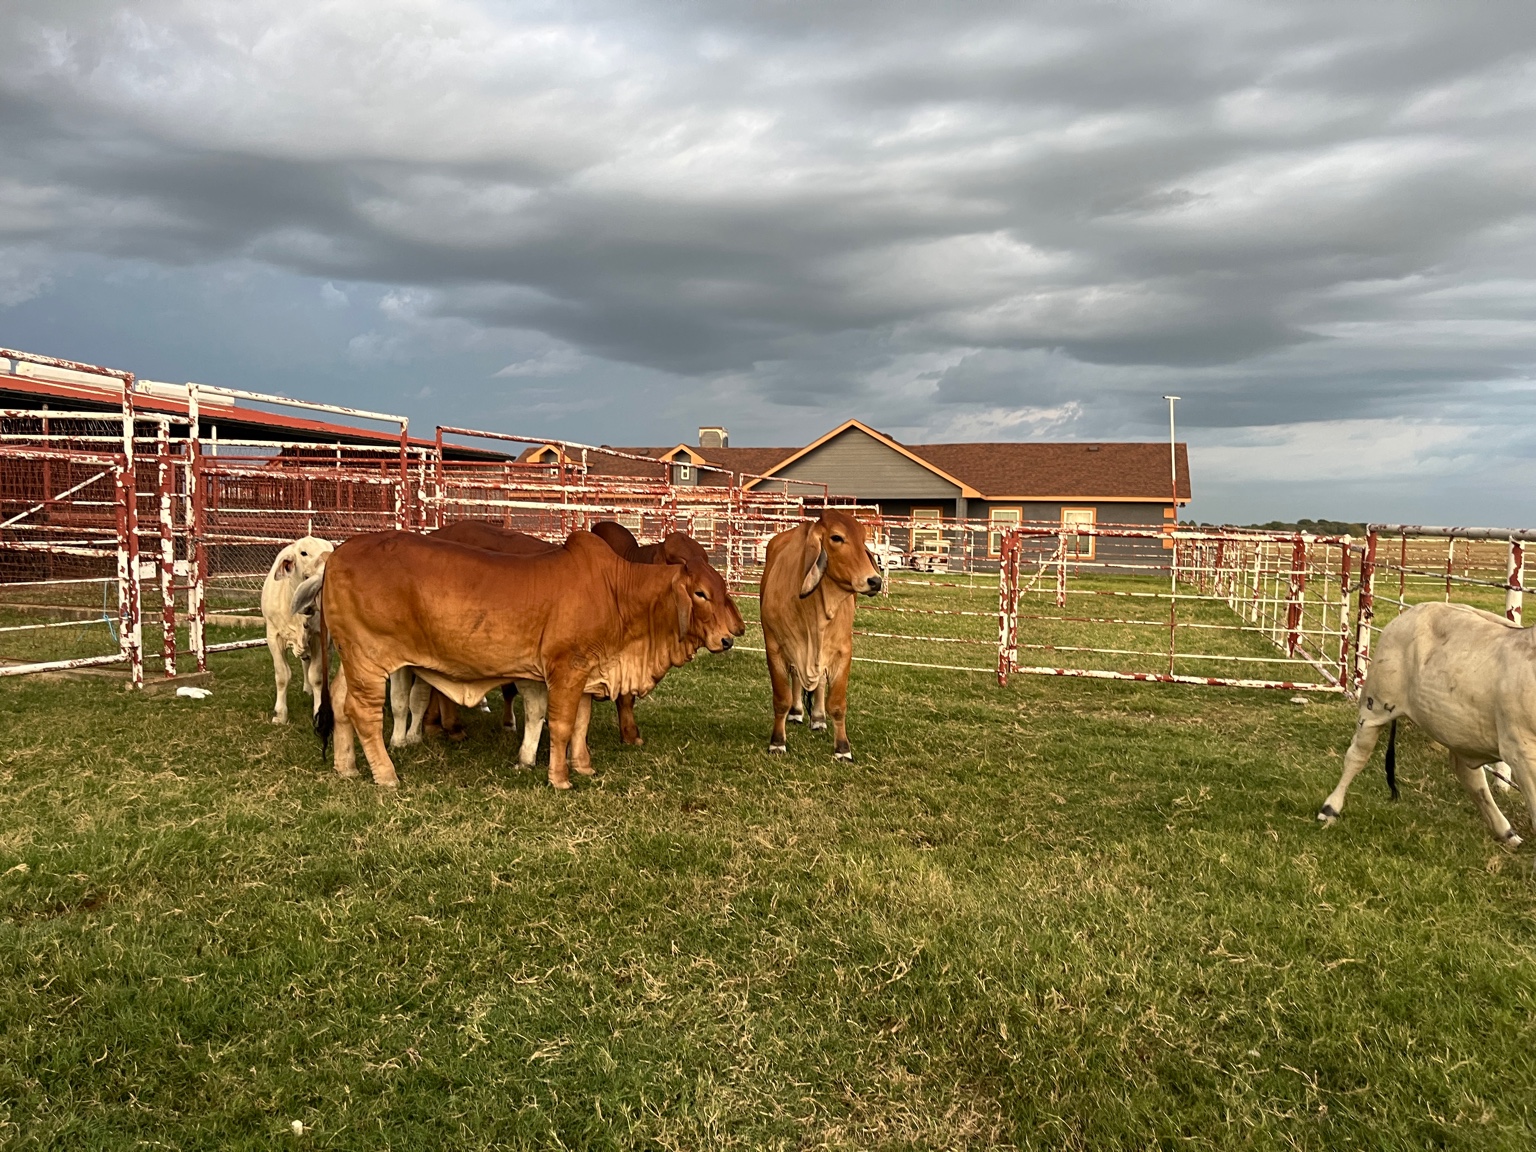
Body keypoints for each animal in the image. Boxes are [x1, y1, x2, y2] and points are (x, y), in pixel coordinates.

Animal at [260, 535, 334, 723]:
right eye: (304, 553)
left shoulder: (319, 637)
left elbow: (317, 676)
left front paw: (318, 710)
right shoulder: (273, 636)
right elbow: (282, 675)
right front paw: (280, 715)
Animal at [759, 509, 882, 759]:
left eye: (863, 538)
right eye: (836, 538)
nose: (875, 581)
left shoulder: (843, 652)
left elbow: (837, 703)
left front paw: (842, 748)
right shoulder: (774, 648)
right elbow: (781, 699)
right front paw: (777, 742)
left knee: (821, 682)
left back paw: (817, 717)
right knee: (797, 676)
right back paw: (797, 712)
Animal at [1317, 601, 1536, 850]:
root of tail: (1413, 611)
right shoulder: (1522, 751)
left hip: (1458, 730)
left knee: (1470, 777)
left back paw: (1506, 832)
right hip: (1375, 707)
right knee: (1357, 755)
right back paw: (1330, 808)